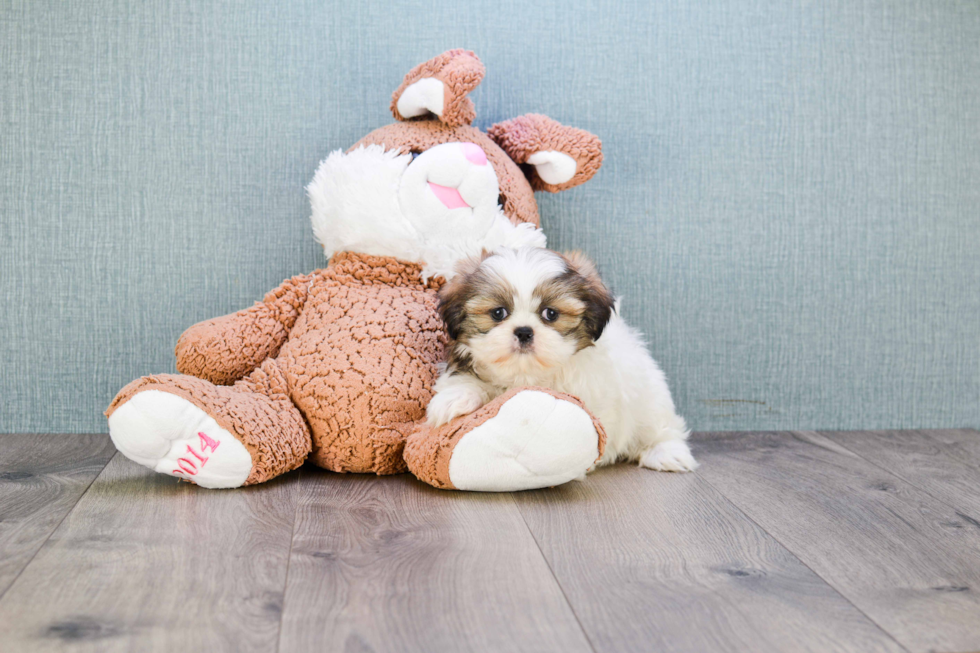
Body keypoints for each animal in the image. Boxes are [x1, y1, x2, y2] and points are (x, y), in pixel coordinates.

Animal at [428, 247, 696, 472]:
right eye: (498, 313)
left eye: (551, 314)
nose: (524, 331)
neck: (527, 375)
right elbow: (467, 383)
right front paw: (453, 401)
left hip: (651, 402)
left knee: (663, 429)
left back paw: (667, 452)